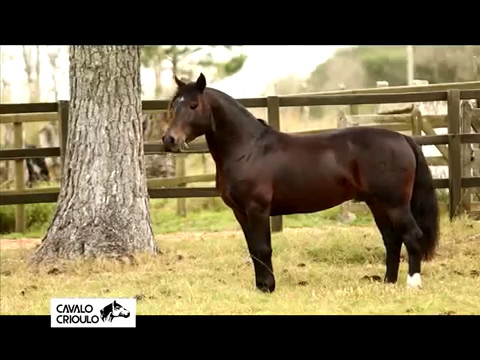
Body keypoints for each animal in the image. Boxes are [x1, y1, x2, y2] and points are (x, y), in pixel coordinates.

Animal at [164, 73, 438, 292]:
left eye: (193, 105)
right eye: (174, 105)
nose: (169, 139)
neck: (248, 149)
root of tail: (403, 138)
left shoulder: (257, 209)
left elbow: (262, 248)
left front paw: (268, 287)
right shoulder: (240, 212)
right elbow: (253, 249)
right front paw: (260, 286)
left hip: (395, 204)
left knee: (412, 235)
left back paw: (412, 283)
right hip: (377, 204)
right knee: (392, 239)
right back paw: (388, 282)